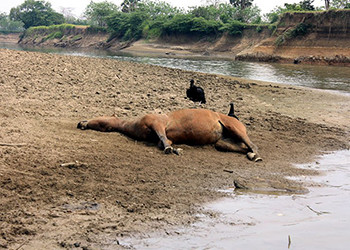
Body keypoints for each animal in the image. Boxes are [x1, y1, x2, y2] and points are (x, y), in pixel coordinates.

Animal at [77, 108, 262, 161]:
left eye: (99, 120)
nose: (81, 123)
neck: (133, 123)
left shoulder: (156, 123)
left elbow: (163, 139)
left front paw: (170, 150)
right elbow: (165, 141)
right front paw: (175, 149)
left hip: (235, 128)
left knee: (252, 144)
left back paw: (256, 155)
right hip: (222, 142)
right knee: (242, 148)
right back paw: (251, 155)